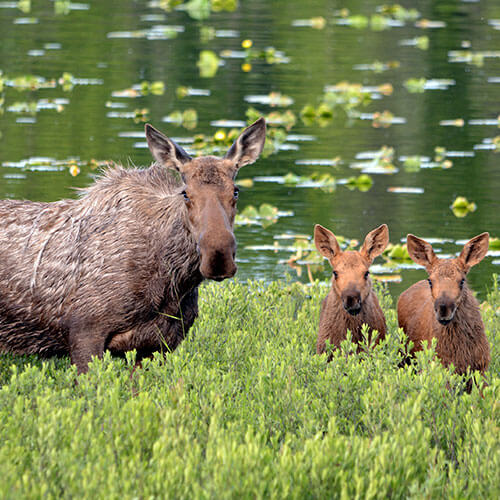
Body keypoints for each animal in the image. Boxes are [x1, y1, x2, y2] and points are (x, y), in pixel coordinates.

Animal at [0, 119, 266, 374]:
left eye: (236, 191)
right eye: (185, 193)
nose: (218, 257)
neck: (172, 281)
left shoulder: (158, 346)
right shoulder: (85, 333)